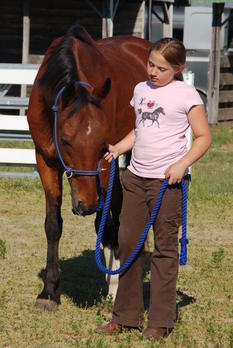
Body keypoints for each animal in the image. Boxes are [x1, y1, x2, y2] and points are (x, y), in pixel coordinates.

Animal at [27, 24, 150, 310]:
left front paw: (114, 286)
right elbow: (53, 224)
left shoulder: (107, 164)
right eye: (65, 140)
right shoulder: (45, 160)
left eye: (101, 144)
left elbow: (109, 221)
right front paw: (48, 292)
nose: (87, 204)